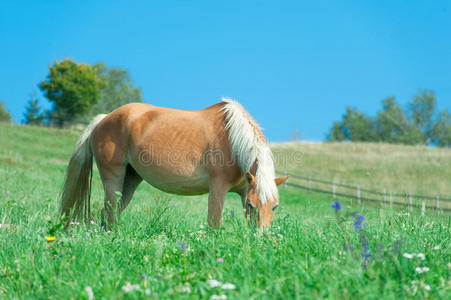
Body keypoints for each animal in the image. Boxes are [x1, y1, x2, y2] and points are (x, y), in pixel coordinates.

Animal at [59, 98, 290, 227]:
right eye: (253, 205)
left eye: (275, 206)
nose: (262, 239)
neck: (232, 139)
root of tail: (103, 119)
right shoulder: (218, 188)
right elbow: (213, 223)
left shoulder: (244, 190)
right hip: (112, 178)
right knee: (110, 211)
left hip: (131, 180)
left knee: (109, 213)